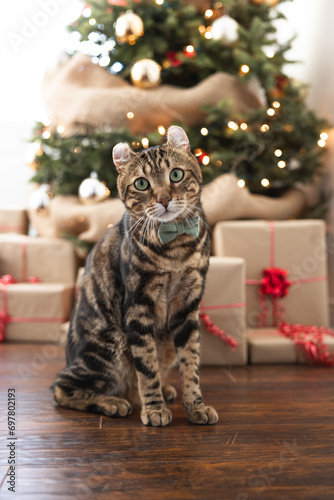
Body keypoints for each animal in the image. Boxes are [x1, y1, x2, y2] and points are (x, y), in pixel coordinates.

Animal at [52, 127, 218, 428]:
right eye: (141, 184)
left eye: (176, 175)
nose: (164, 199)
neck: (175, 249)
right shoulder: (138, 306)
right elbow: (146, 365)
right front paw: (154, 409)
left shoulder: (189, 305)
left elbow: (191, 363)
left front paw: (196, 406)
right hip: (108, 350)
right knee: (61, 386)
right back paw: (114, 402)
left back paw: (160, 390)